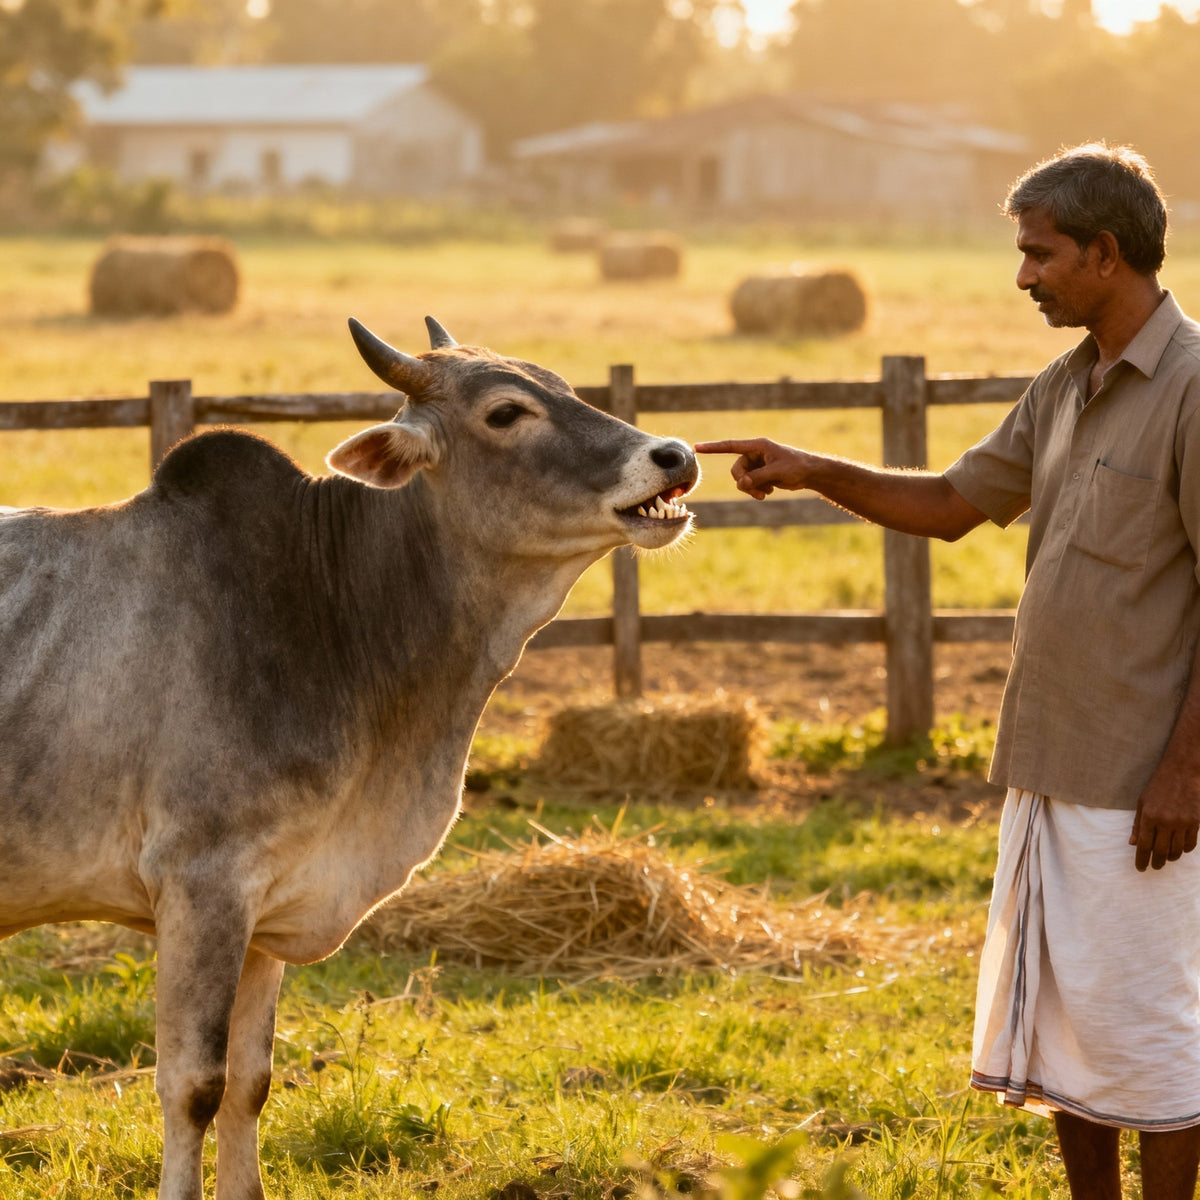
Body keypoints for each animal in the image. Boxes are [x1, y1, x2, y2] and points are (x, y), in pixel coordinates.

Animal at [0, 317, 699, 1200]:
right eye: (506, 412)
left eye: (566, 387)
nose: (675, 455)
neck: (332, 609)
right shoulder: (201, 885)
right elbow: (193, 1086)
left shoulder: (271, 906)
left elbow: (249, 1084)